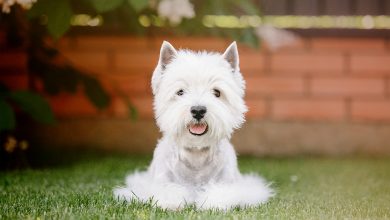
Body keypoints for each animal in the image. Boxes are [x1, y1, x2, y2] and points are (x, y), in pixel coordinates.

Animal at [112, 41, 272, 210]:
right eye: (180, 92)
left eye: (217, 92)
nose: (198, 110)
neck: (196, 153)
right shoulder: (160, 183)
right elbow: (168, 192)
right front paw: (173, 203)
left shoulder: (230, 183)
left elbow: (222, 192)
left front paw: (211, 203)